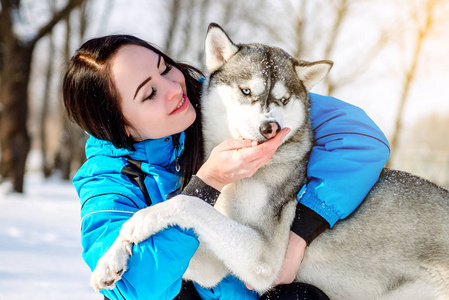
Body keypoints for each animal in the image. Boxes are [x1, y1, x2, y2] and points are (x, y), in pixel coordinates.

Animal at [91, 24, 448, 300]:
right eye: (246, 91)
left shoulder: (262, 260)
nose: (270, 127)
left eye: (283, 99)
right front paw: (110, 259)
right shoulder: (215, 265)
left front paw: (140, 221)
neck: (241, 180)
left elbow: (187, 204)